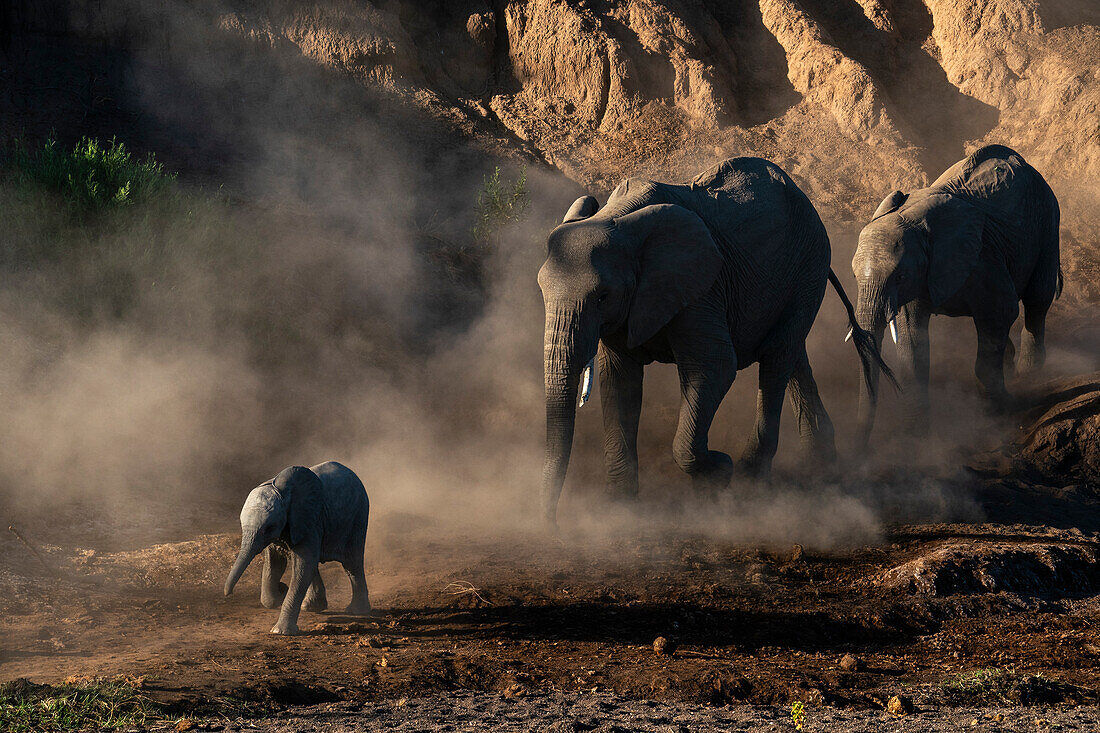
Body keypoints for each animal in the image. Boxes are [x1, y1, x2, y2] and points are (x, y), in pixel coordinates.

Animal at [222, 460, 369, 629]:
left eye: (269, 527)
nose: (228, 594)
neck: (284, 493)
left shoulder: (309, 519)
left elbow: (302, 565)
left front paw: (280, 630)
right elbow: (276, 563)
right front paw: (279, 594)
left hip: (358, 517)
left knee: (352, 563)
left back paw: (356, 611)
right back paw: (311, 607)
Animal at [536, 157, 888, 526]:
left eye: (602, 296)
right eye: (542, 289)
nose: (553, 524)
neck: (619, 218)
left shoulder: (701, 286)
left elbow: (714, 366)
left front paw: (719, 471)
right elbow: (620, 380)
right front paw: (619, 510)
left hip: (809, 265)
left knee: (776, 361)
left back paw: (751, 479)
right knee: (792, 354)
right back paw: (821, 467)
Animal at [853, 143, 1060, 440]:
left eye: (900, 276)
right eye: (854, 276)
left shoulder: (983, 256)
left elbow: (1000, 314)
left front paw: (998, 414)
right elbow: (912, 337)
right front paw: (917, 436)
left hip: (1047, 220)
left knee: (1037, 300)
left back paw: (1029, 374)